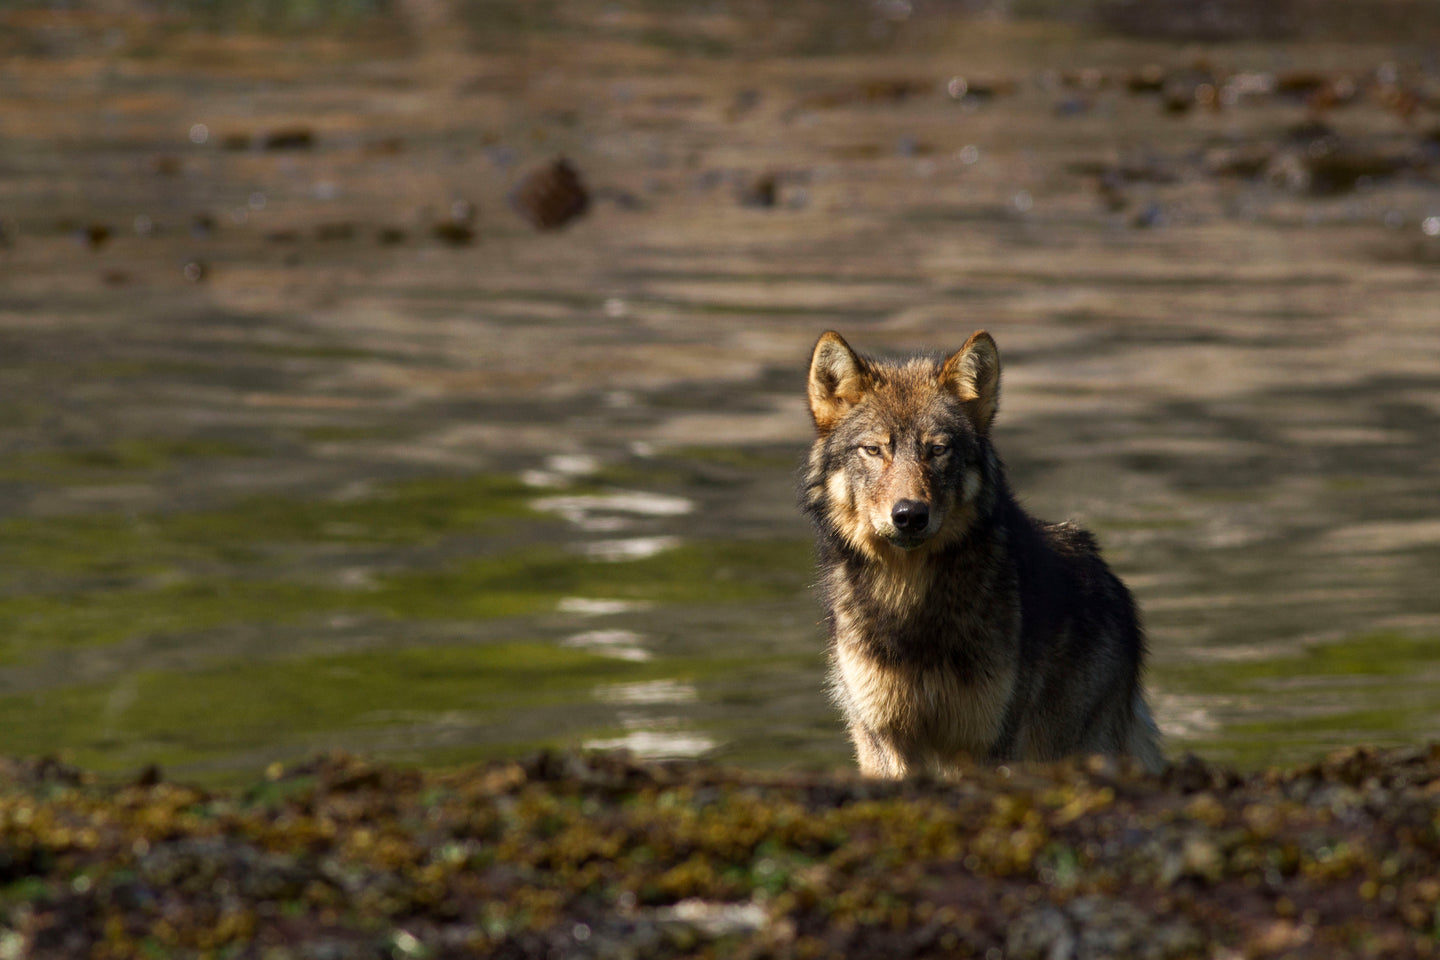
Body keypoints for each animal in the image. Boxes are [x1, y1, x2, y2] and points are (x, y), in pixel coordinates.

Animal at [806, 332, 1163, 782]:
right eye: (873, 450)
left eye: (937, 450)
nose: (909, 515)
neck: (909, 599)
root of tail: (1111, 581)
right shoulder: (884, 736)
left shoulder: (989, 740)